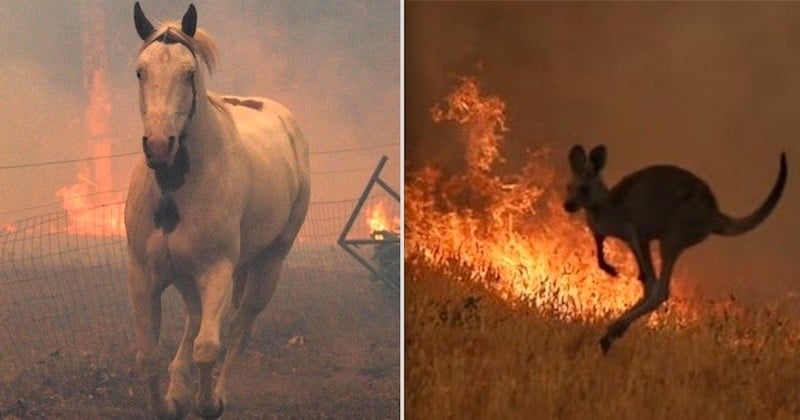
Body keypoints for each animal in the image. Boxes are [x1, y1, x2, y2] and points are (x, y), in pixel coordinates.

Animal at [126, 2, 310, 416]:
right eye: (141, 71)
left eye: (189, 73)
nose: (159, 146)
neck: (174, 189)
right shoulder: (145, 275)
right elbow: (147, 356)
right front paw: (170, 403)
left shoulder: (217, 271)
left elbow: (209, 348)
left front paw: (206, 404)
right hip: (188, 275)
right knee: (196, 320)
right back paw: (180, 388)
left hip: (267, 265)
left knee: (239, 329)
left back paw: (216, 394)